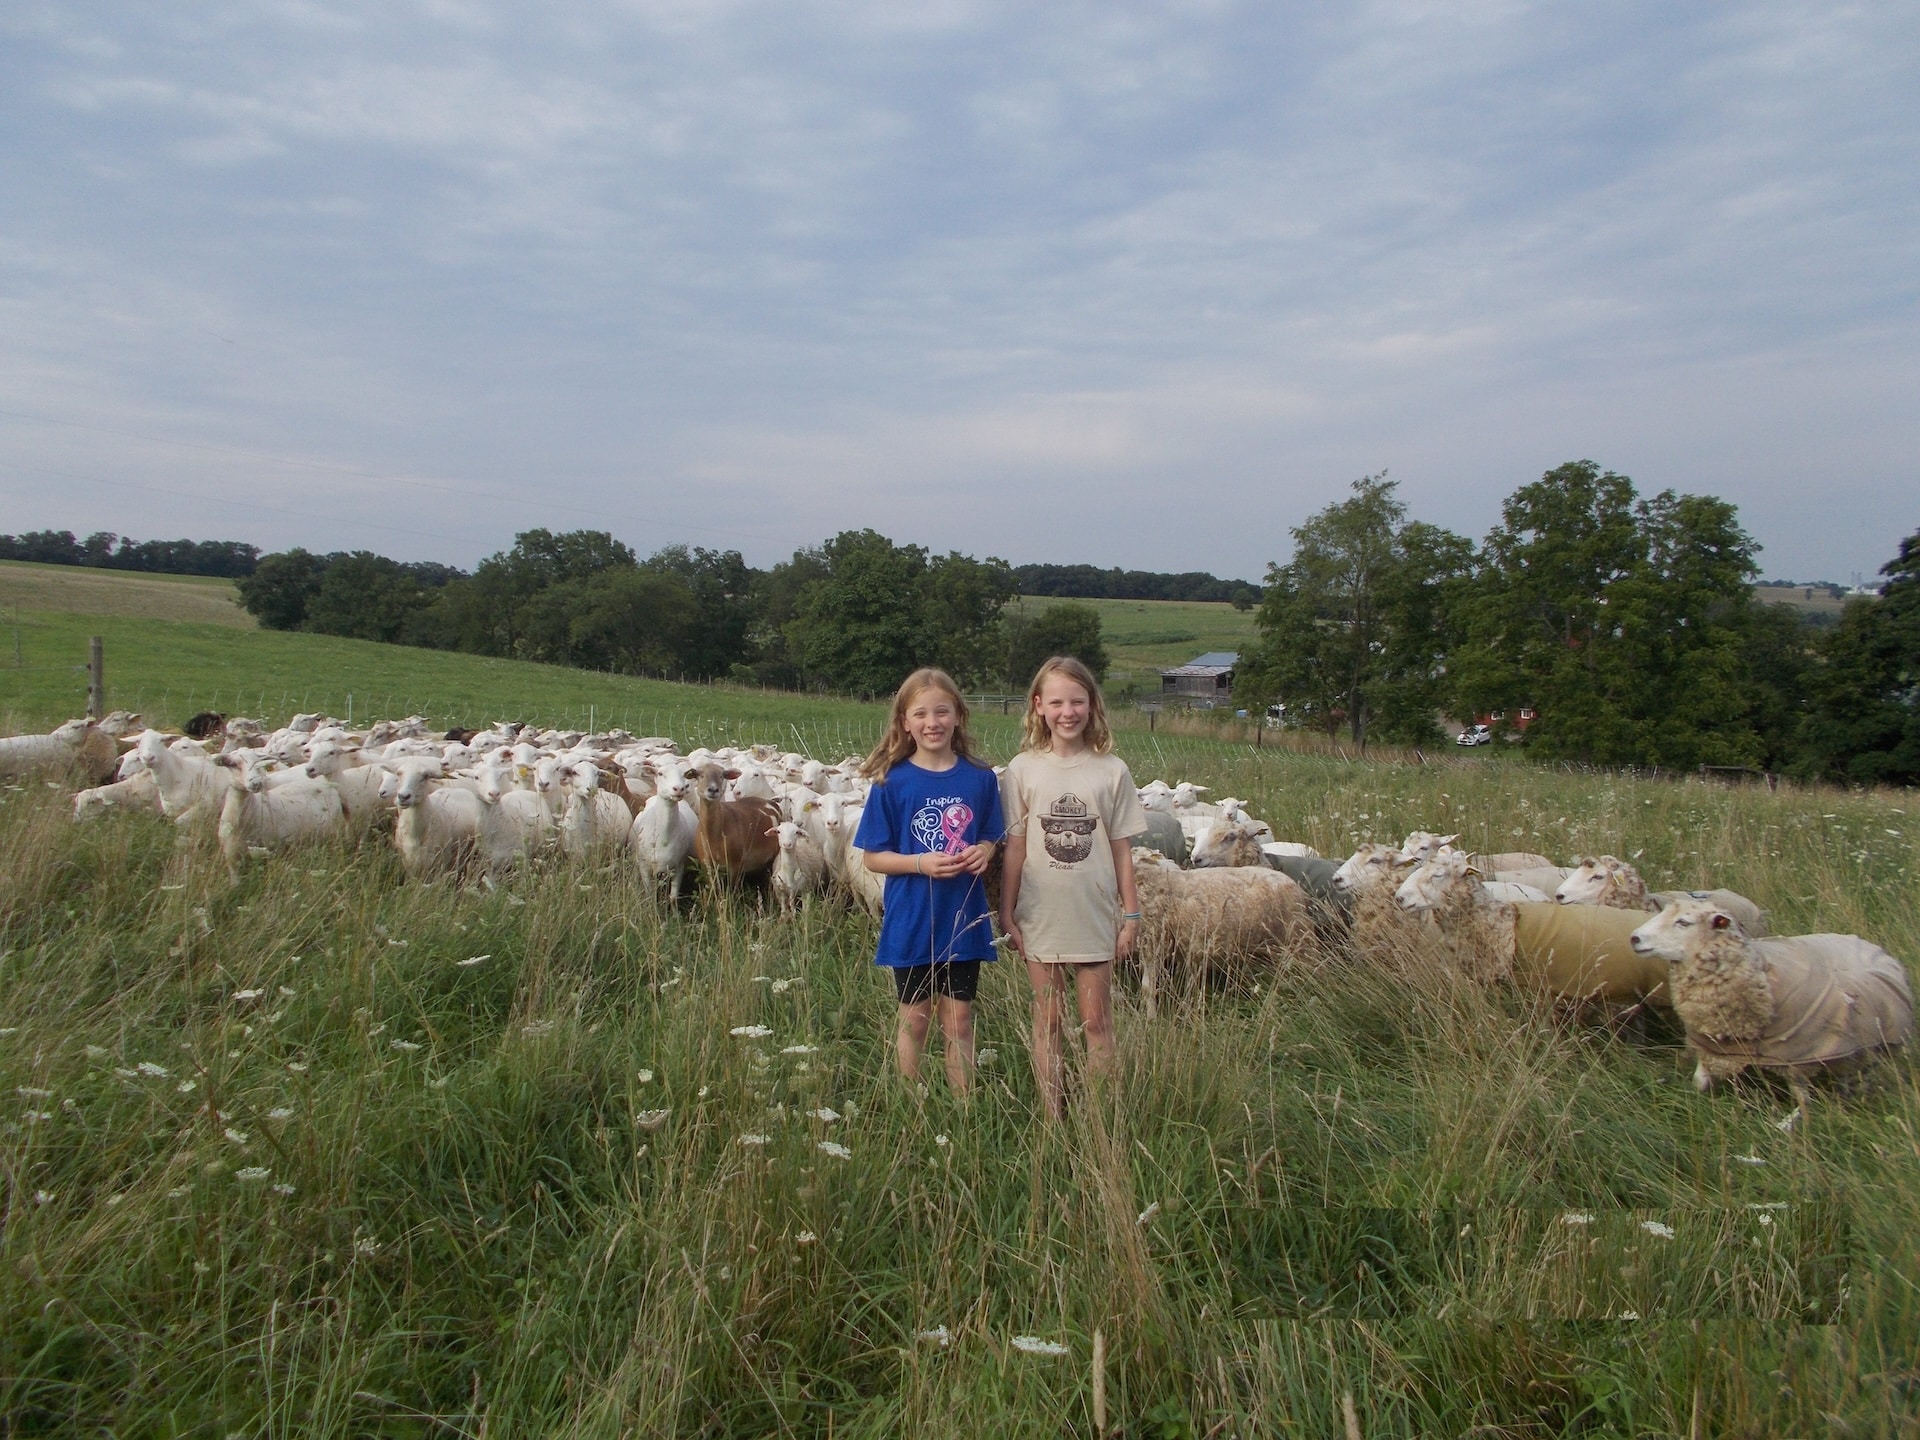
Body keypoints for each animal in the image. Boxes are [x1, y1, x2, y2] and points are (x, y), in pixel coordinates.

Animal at [1628, 902, 1912, 1090]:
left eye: (1683, 922)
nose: (1634, 938)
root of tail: (1874, 946)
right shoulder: (1711, 1045)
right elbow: (1699, 1081)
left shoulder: (1798, 1058)